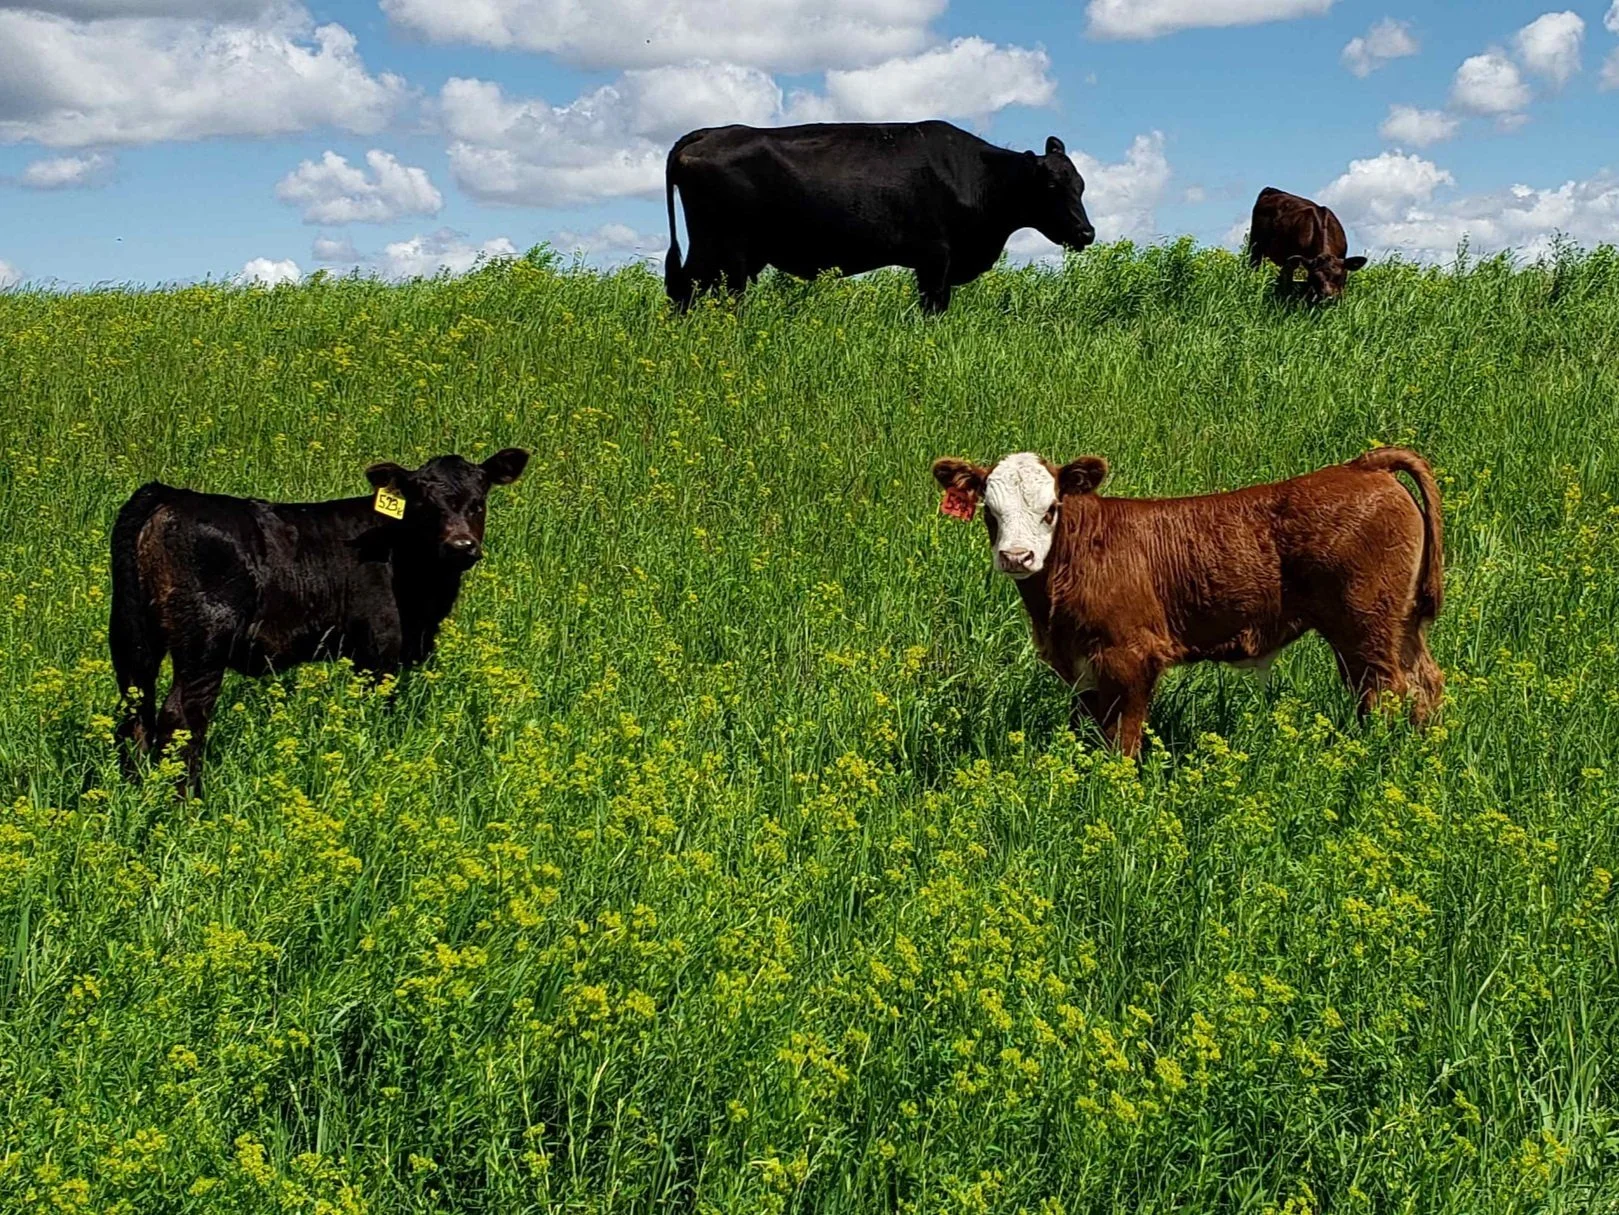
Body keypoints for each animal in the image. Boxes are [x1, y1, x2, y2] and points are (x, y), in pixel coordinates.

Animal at [114, 450, 531, 790]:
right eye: (424, 505)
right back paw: (189, 802)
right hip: (204, 644)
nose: (461, 546)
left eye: (478, 503)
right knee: (182, 717)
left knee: (135, 710)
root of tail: (171, 494)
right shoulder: (380, 653)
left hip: (132, 638)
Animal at [660, 121, 1100, 314]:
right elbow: (933, 309)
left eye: (1080, 184)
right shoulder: (935, 258)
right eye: (1052, 186)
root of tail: (707, 133)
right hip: (722, 249)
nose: (1086, 232)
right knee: (699, 292)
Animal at [932, 447, 1450, 758]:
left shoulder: (1130, 656)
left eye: (1051, 509)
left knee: (1383, 691)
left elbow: (1123, 737)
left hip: (1365, 625)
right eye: (990, 511)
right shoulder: (1081, 664)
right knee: (1424, 683)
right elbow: (1088, 729)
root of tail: (1363, 465)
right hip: (1399, 624)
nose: (1017, 556)